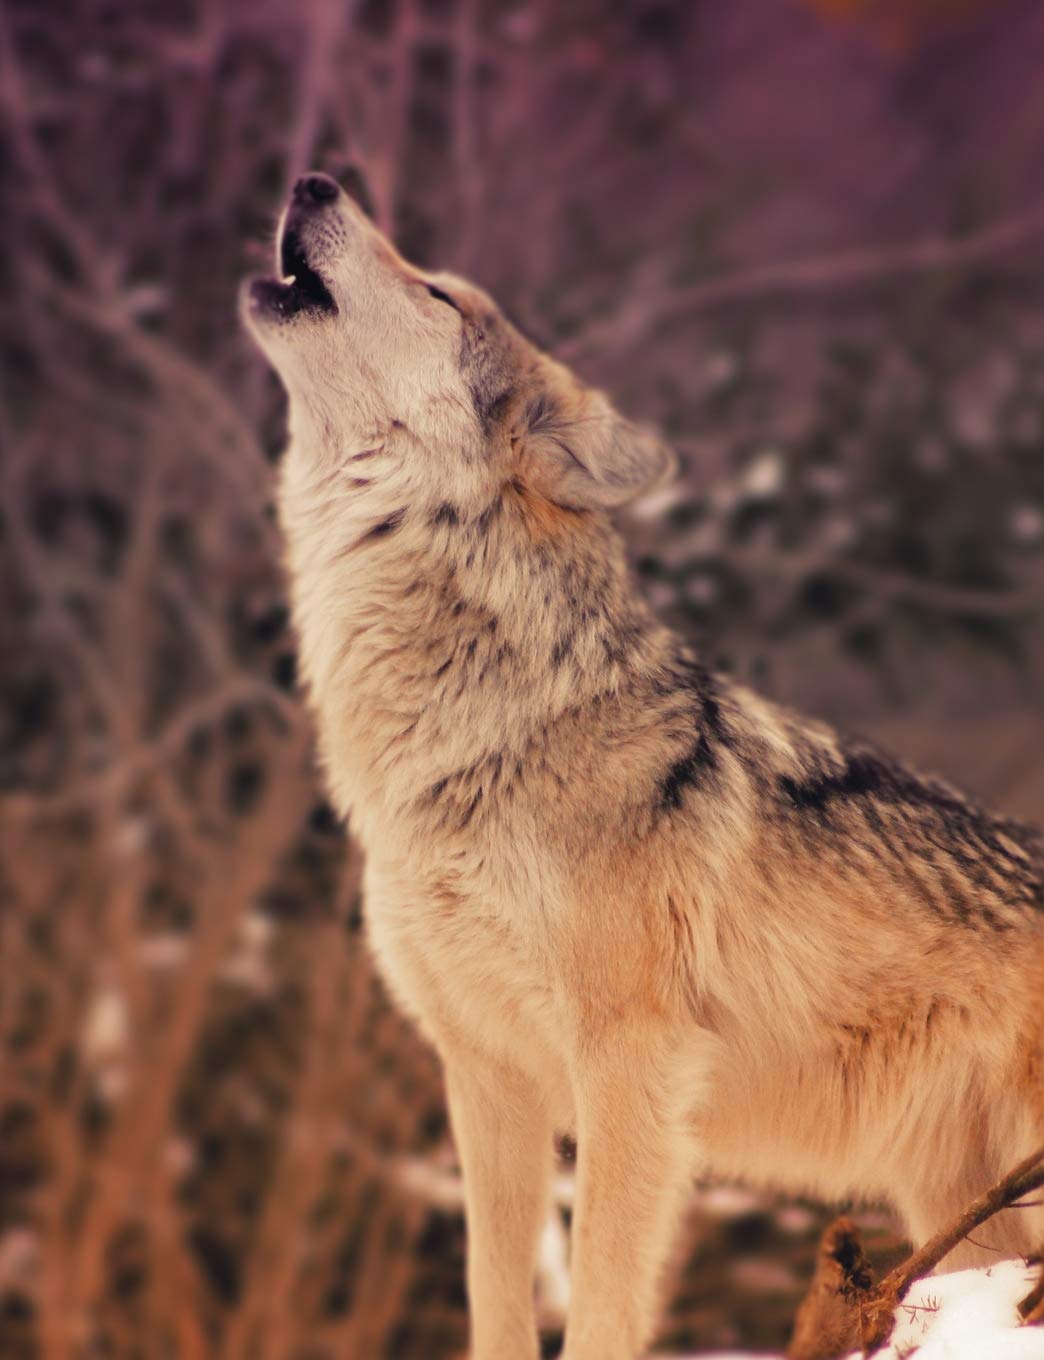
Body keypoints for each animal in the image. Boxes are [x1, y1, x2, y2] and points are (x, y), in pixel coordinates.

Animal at [243, 171, 1044, 1360]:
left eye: (438, 292)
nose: (314, 180)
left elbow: (602, 1306)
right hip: (961, 1207)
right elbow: (494, 1296)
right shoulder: (486, 1074)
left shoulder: (630, 1067)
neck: (481, 735)